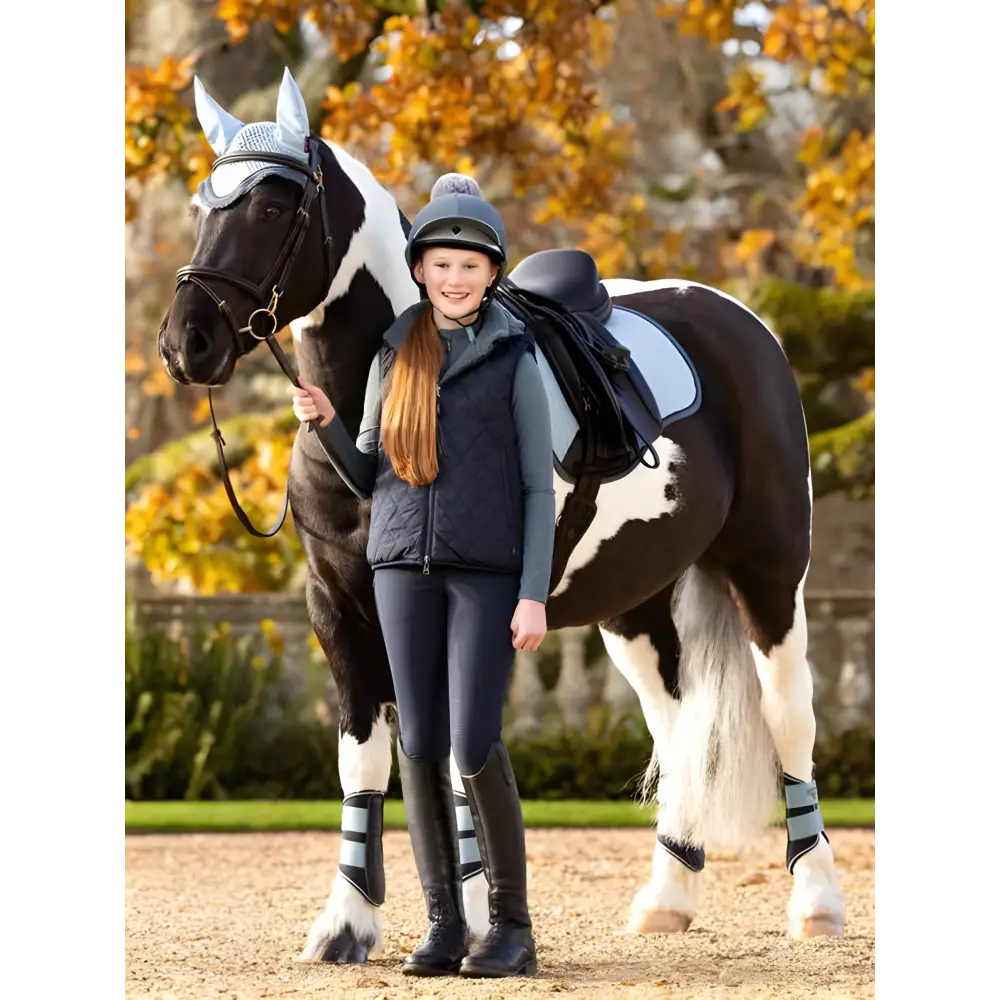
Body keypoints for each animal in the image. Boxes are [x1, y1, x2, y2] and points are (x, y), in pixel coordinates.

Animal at [154, 68, 844, 960]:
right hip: (633, 607)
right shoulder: (337, 606)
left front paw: (477, 922)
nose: (186, 344)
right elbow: (368, 763)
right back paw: (666, 897)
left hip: (768, 574)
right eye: (202, 206)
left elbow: (455, 761)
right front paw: (350, 924)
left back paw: (816, 903)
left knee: (789, 719)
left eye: (273, 207)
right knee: (678, 724)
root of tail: (741, 325)